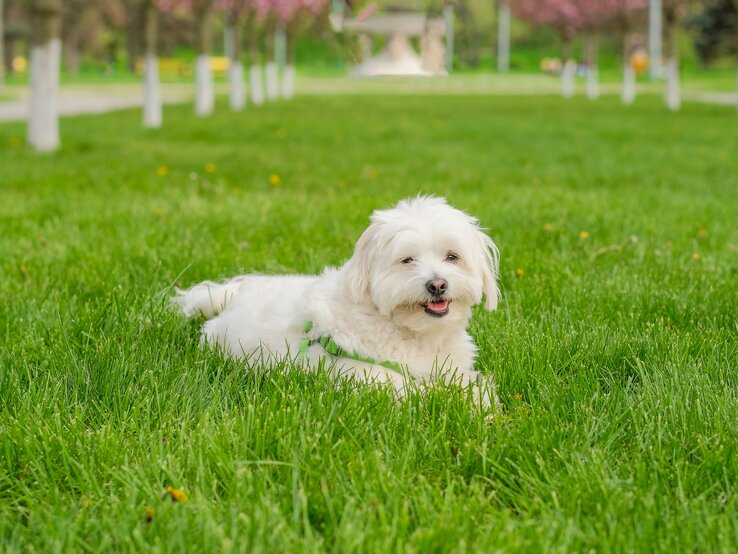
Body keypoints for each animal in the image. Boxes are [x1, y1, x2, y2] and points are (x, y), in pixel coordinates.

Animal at [174, 196, 500, 404]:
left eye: (452, 257)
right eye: (407, 260)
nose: (437, 285)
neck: (410, 331)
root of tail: (234, 296)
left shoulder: (451, 367)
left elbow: (472, 384)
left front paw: (484, 405)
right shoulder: (372, 378)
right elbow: (426, 394)